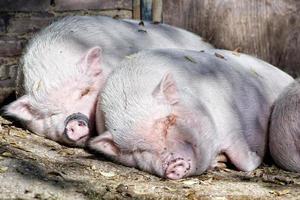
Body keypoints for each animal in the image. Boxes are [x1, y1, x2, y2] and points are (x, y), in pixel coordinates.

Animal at [89, 48, 292, 180]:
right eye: (137, 150)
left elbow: (244, 161)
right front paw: (220, 162)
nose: (173, 163)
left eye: (169, 120)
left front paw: (257, 158)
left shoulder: (231, 127)